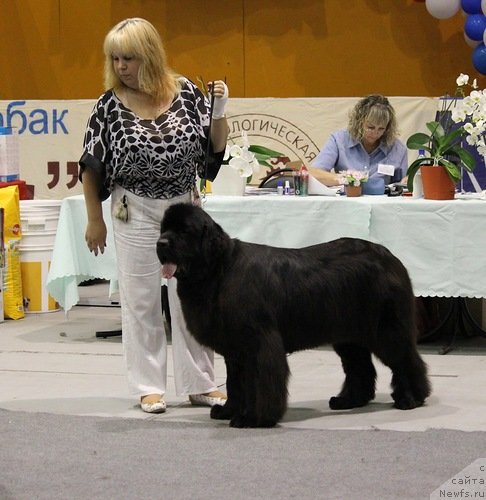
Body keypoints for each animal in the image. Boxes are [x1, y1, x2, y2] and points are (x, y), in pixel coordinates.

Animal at [158, 201, 430, 428]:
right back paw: (349, 400)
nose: (160, 243)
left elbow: (260, 381)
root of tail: (391, 257)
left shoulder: (259, 343)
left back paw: (411, 398)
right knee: (360, 366)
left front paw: (254, 418)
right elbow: (236, 384)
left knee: (405, 360)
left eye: (184, 231)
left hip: (387, 329)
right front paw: (228, 411)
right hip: (348, 335)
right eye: (163, 229)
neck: (218, 270)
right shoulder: (235, 350)